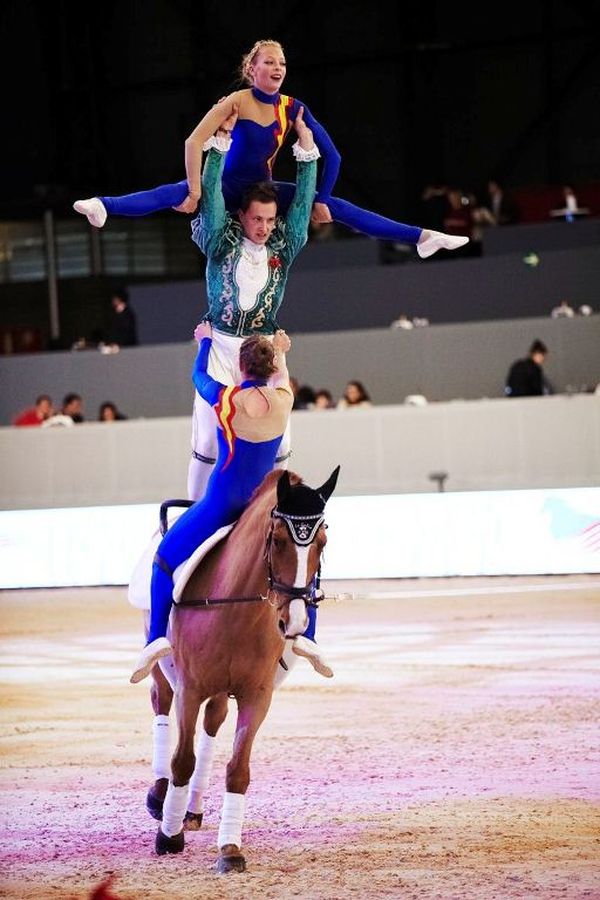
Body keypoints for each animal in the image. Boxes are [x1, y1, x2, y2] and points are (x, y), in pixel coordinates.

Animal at [141, 464, 338, 872]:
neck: (235, 608)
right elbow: (182, 760)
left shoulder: (257, 696)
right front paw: (168, 836)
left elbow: (237, 770)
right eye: (277, 540)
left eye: (323, 544)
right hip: (165, 673)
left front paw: (229, 849)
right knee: (160, 705)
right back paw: (159, 797)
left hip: (220, 691)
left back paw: (192, 808)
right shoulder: (189, 689)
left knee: (212, 725)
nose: (295, 621)